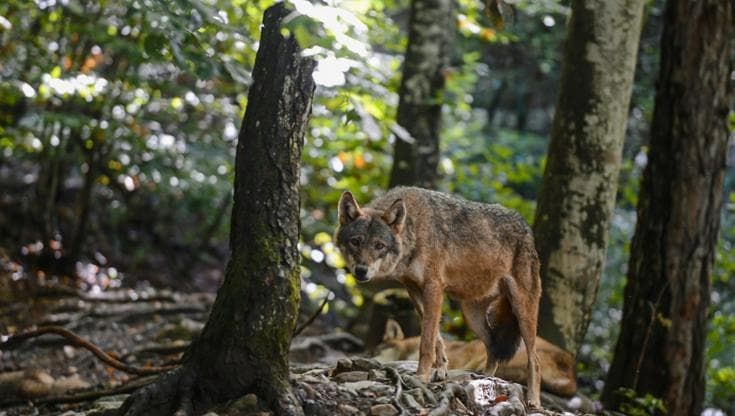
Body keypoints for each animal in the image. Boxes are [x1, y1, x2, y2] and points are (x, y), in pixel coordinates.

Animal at [334, 186, 542, 408]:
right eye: (355, 242)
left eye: (379, 245)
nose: (361, 271)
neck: (414, 229)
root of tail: (526, 227)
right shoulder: (414, 289)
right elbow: (437, 338)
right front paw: (440, 371)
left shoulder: (433, 288)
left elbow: (426, 341)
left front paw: (421, 376)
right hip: (471, 316)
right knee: (493, 348)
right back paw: (483, 379)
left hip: (522, 312)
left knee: (534, 360)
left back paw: (533, 400)